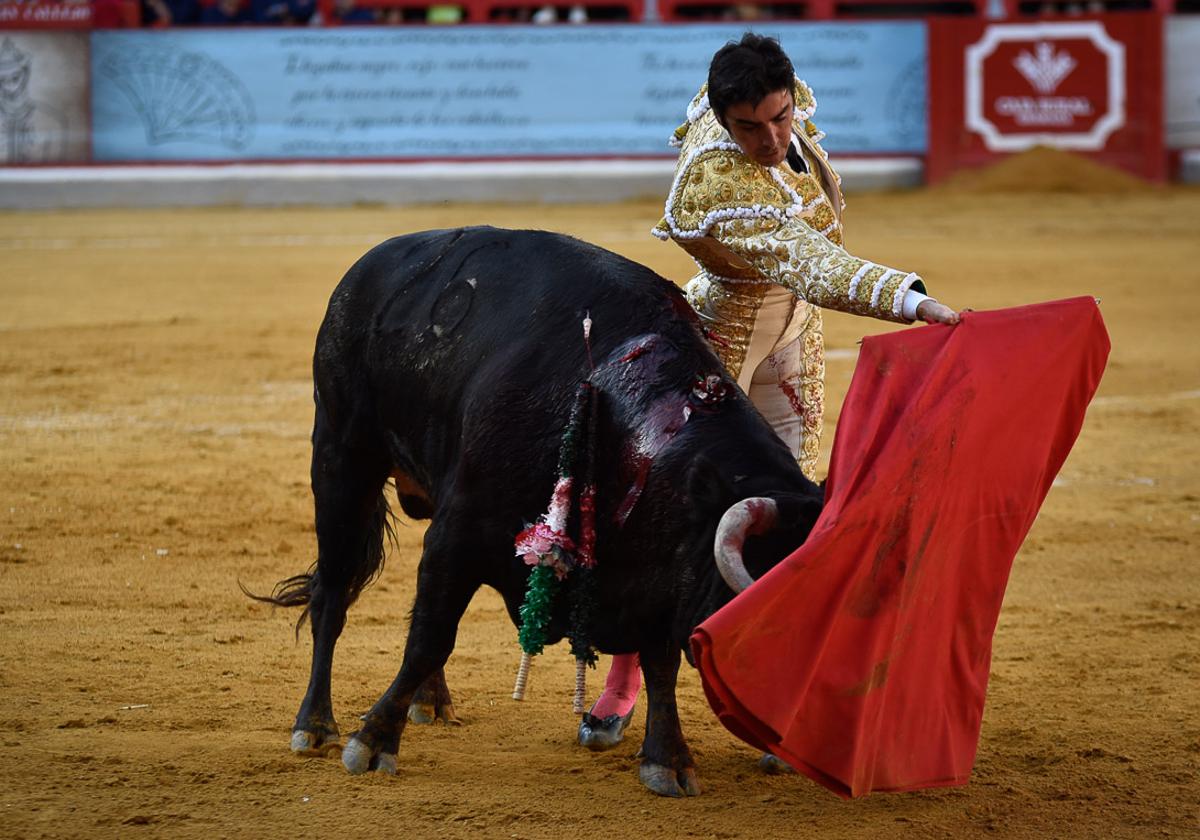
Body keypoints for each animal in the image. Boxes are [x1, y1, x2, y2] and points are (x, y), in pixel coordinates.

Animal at [260, 226, 825, 796]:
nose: (788, 732)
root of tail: (368, 265)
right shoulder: (458, 535)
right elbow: (430, 637)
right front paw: (373, 741)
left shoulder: (662, 577)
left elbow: (660, 662)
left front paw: (668, 759)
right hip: (341, 460)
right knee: (333, 595)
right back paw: (315, 725)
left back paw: (432, 701)